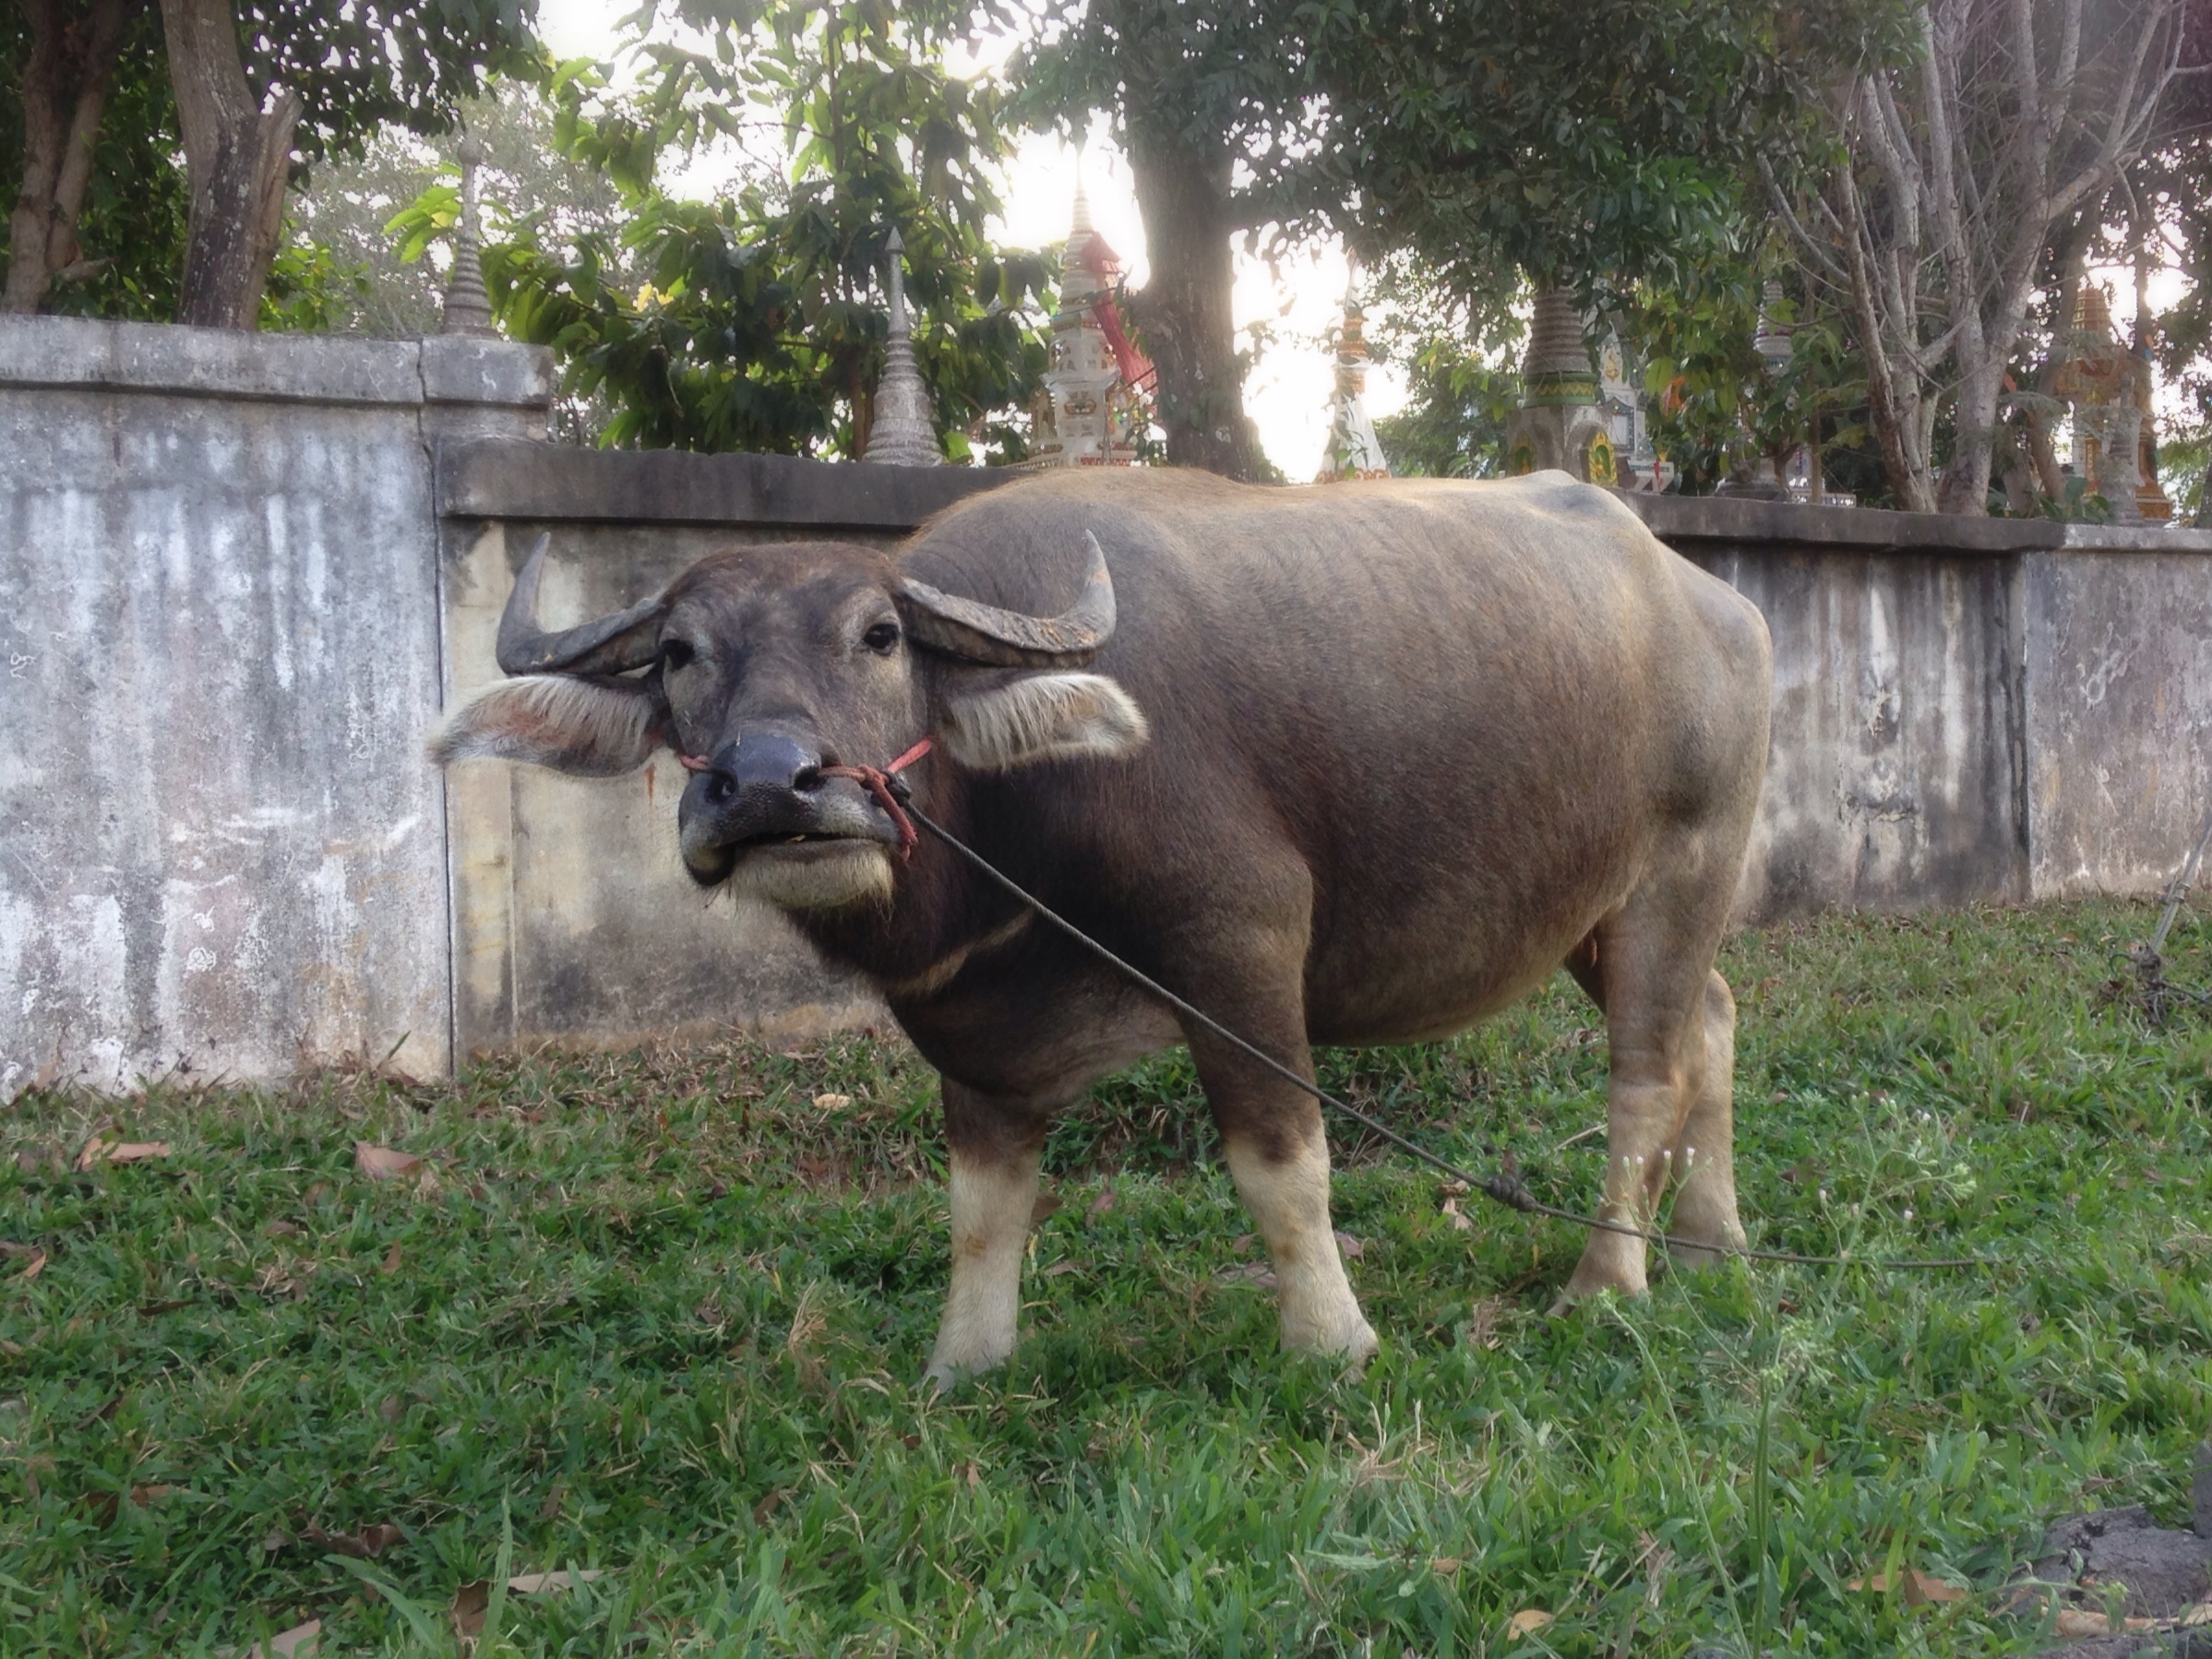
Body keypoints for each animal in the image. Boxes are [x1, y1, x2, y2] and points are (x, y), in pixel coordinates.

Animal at [440, 471, 1769, 1389]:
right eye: (677, 652)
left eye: (879, 636)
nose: (771, 784)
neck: (1027, 810)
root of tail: (1718, 604)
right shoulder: (973, 1029)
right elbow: (983, 1205)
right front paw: (963, 1364)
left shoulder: (1239, 946)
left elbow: (1281, 1163)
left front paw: (1333, 1341)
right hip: (1597, 917)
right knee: (1712, 1021)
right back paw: (1714, 1241)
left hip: (1681, 871)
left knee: (1646, 1075)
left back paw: (1606, 1278)